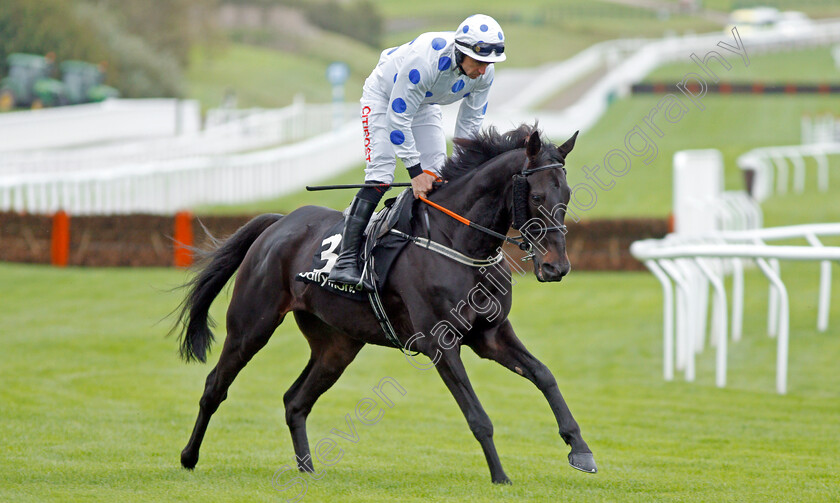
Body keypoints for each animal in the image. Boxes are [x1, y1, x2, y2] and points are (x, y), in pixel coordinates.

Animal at [174, 123, 596, 484]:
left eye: (567, 195)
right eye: (537, 196)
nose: (556, 266)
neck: (459, 243)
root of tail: (279, 224)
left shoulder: (490, 334)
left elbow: (544, 375)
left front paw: (580, 449)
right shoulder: (440, 343)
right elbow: (478, 416)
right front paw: (500, 476)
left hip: (337, 345)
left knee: (295, 401)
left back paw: (307, 470)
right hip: (252, 325)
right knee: (215, 386)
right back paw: (188, 457)